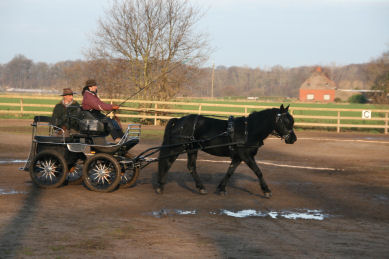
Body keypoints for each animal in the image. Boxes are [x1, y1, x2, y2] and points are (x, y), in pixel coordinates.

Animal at [156, 104, 296, 198]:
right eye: (285, 121)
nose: (293, 139)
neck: (248, 131)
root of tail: (179, 120)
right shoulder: (246, 155)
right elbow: (258, 171)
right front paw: (266, 190)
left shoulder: (238, 157)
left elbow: (230, 171)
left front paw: (221, 188)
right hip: (178, 147)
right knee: (167, 163)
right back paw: (160, 186)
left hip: (192, 149)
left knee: (191, 167)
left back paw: (201, 188)